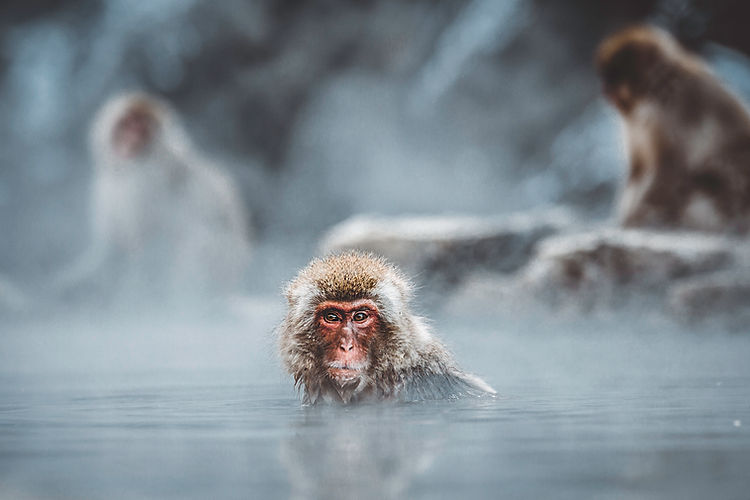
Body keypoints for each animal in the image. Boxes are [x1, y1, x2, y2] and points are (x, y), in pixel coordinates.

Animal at [54, 92, 252, 306]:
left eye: (143, 129)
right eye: (126, 124)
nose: (131, 141)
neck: (127, 170)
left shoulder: (144, 189)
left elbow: (148, 246)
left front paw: (134, 293)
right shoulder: (106, 190)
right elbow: (108, 250)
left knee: (198, 242)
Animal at [596, 25, 750, 233]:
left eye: (615, 75)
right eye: (606, 76)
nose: (605, 89)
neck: (655, 90)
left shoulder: (673, 113)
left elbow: (670, 168)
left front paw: (635, 218)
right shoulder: (635, 126)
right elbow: (638, 168)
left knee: (715, 173)